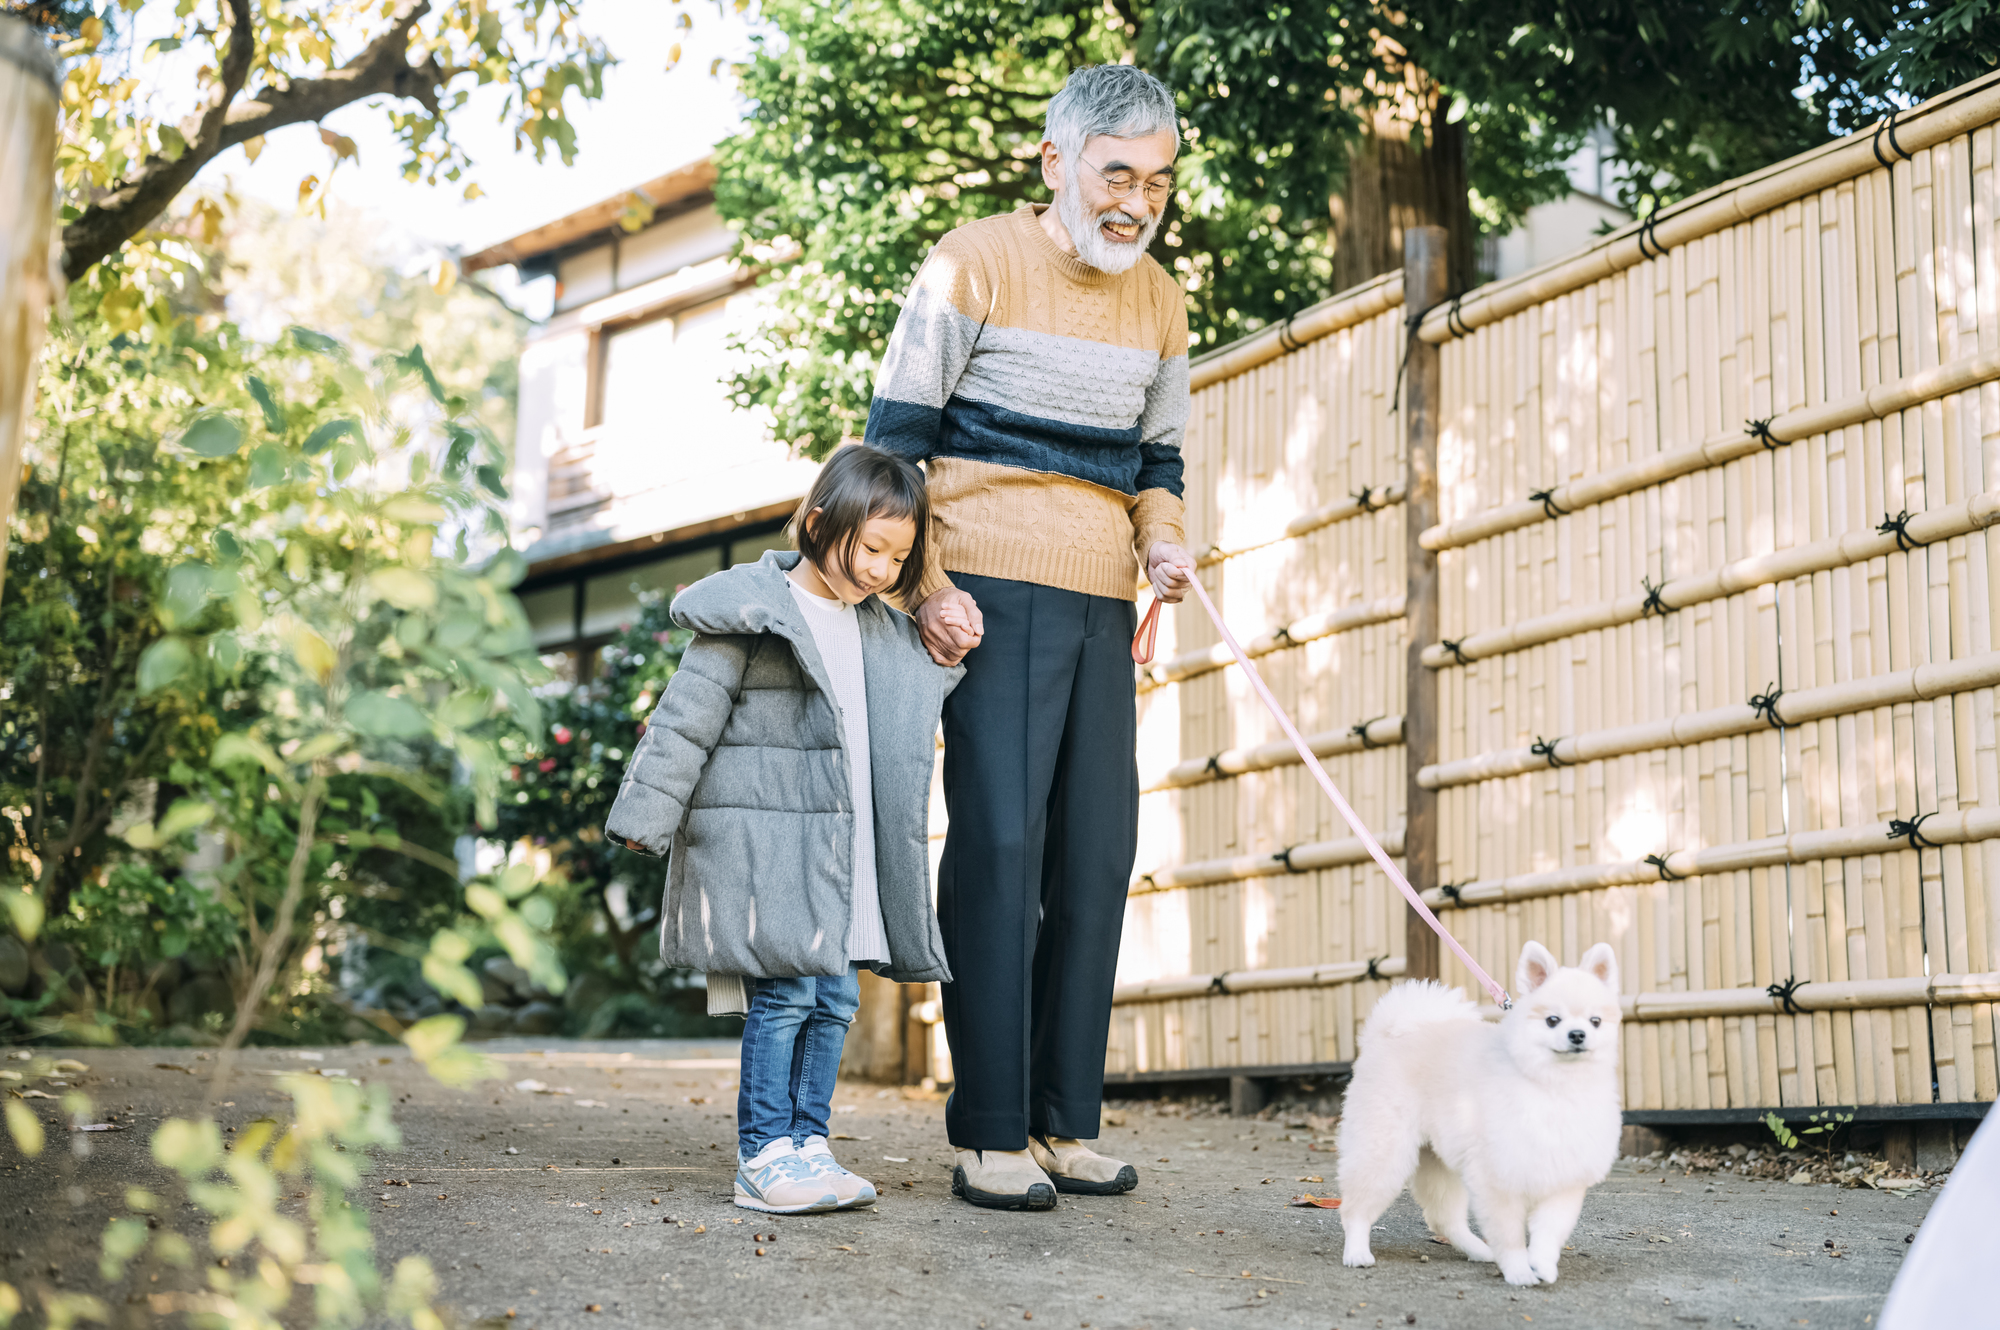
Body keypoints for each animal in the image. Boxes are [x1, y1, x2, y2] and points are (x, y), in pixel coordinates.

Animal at [1328, 940, 1624, 1280]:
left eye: (1595, 1021)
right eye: (1553, 1020)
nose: (1577, 1035)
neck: (1554, 1086)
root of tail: (1388, 1035)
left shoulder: (1562, 1180)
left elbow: (1549, 1232)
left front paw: (1543, 1264)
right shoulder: (1498, 1178)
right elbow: (1510, 1235)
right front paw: (1518, 1271)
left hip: (1439, 1163)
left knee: (1443, 1218)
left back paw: (1479, 1250)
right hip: (1383, 1152)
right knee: (1355, 1209)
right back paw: (1357, 1251)